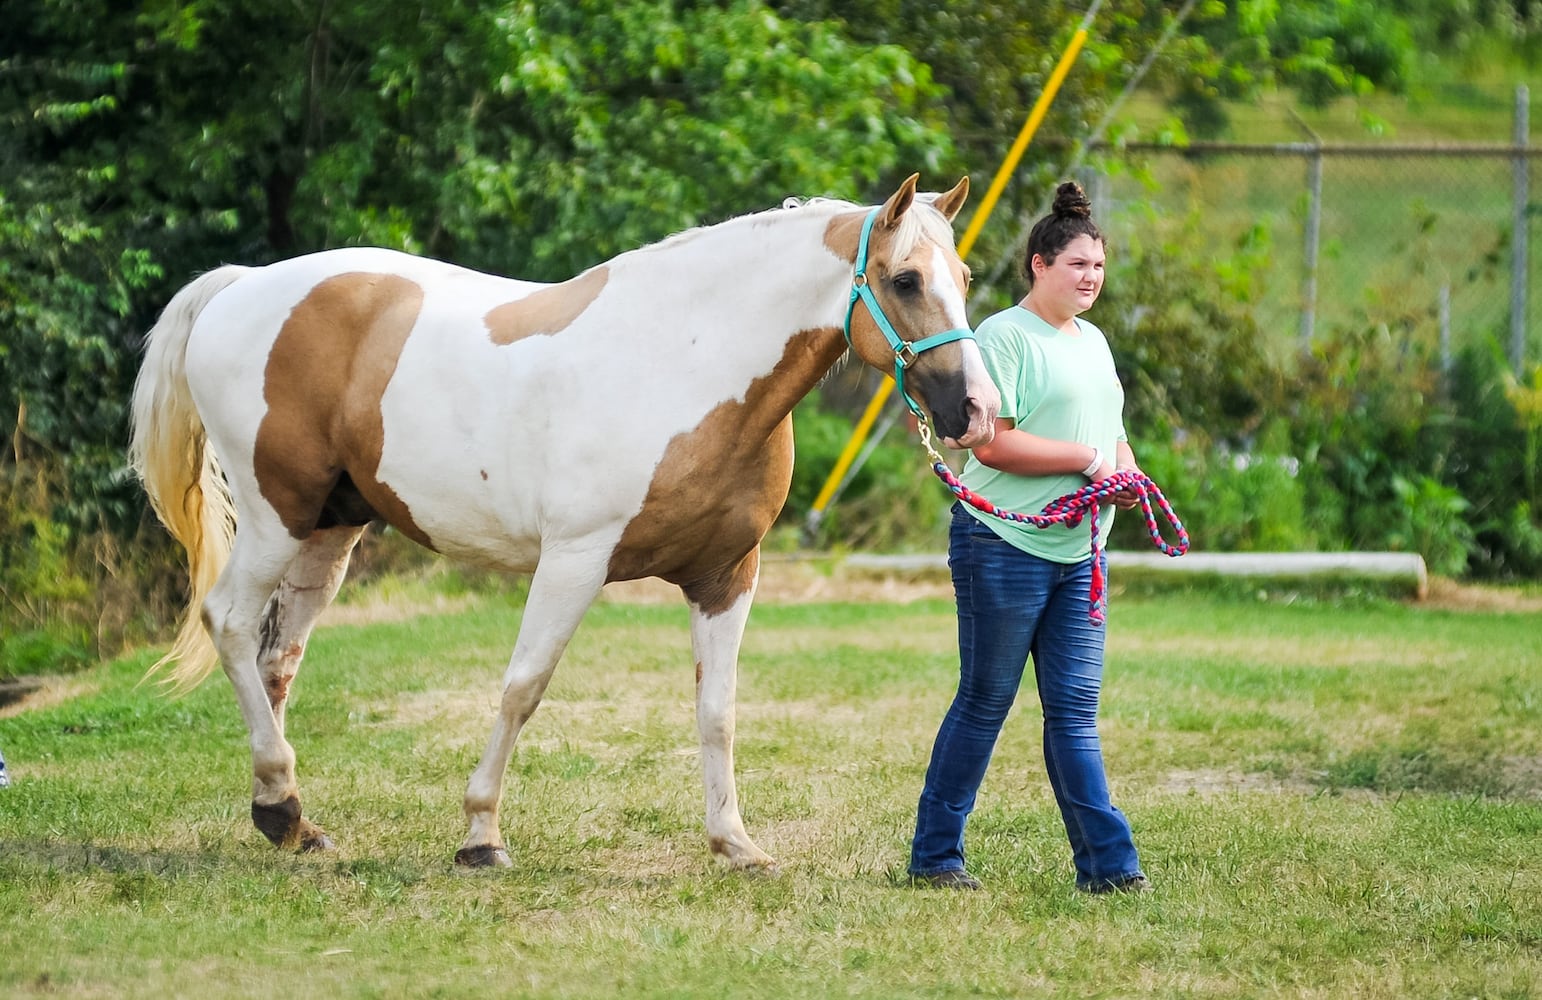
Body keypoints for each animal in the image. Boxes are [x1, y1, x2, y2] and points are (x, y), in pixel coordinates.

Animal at [132, 173, 999, 862]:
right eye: (906, 280)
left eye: (962, 274)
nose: (974, 411)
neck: (687, 359)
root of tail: (241, 286)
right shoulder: (575, 561)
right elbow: (524, 687)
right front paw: (481, 834)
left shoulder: (727, 575)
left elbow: (716, 710)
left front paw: (734, 842)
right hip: (275, 516)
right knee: (230, 623)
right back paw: (282, 801)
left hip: (328, 529)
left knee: (279, 657)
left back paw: (285, 817)